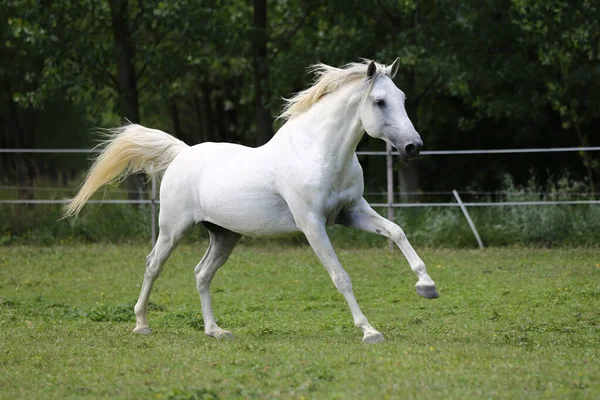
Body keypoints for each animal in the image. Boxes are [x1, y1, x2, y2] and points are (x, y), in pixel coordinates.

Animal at [65, 58, 438, 344]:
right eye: (379, 102)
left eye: (402, 97)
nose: (414, 147)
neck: (318, 153)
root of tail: (183, 153)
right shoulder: (312, 224)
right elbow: (340, 276)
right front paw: (369, 331)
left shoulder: (352, 212)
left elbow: (396, 231)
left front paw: (427, 286)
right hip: (173, 229)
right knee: (153, 265)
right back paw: (142, 324)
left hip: (224, 235)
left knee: (201, 274)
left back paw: (215, 331)